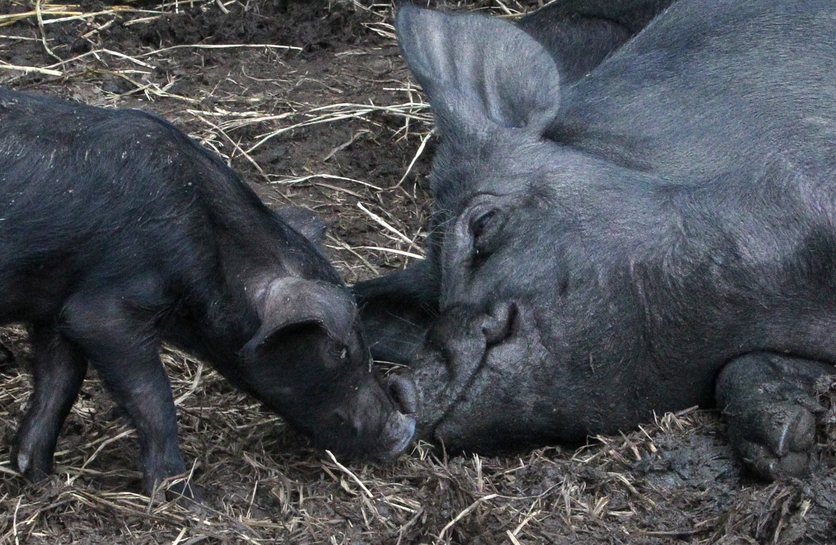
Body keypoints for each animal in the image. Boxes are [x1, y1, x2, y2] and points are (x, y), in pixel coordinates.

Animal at [0, 87, 414, 496]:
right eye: (340, 349)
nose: (406, 432)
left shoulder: (57, 307)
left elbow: (60, 383)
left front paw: (40, 478)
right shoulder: (103, 312)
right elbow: (153, 397)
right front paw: (184, 498)